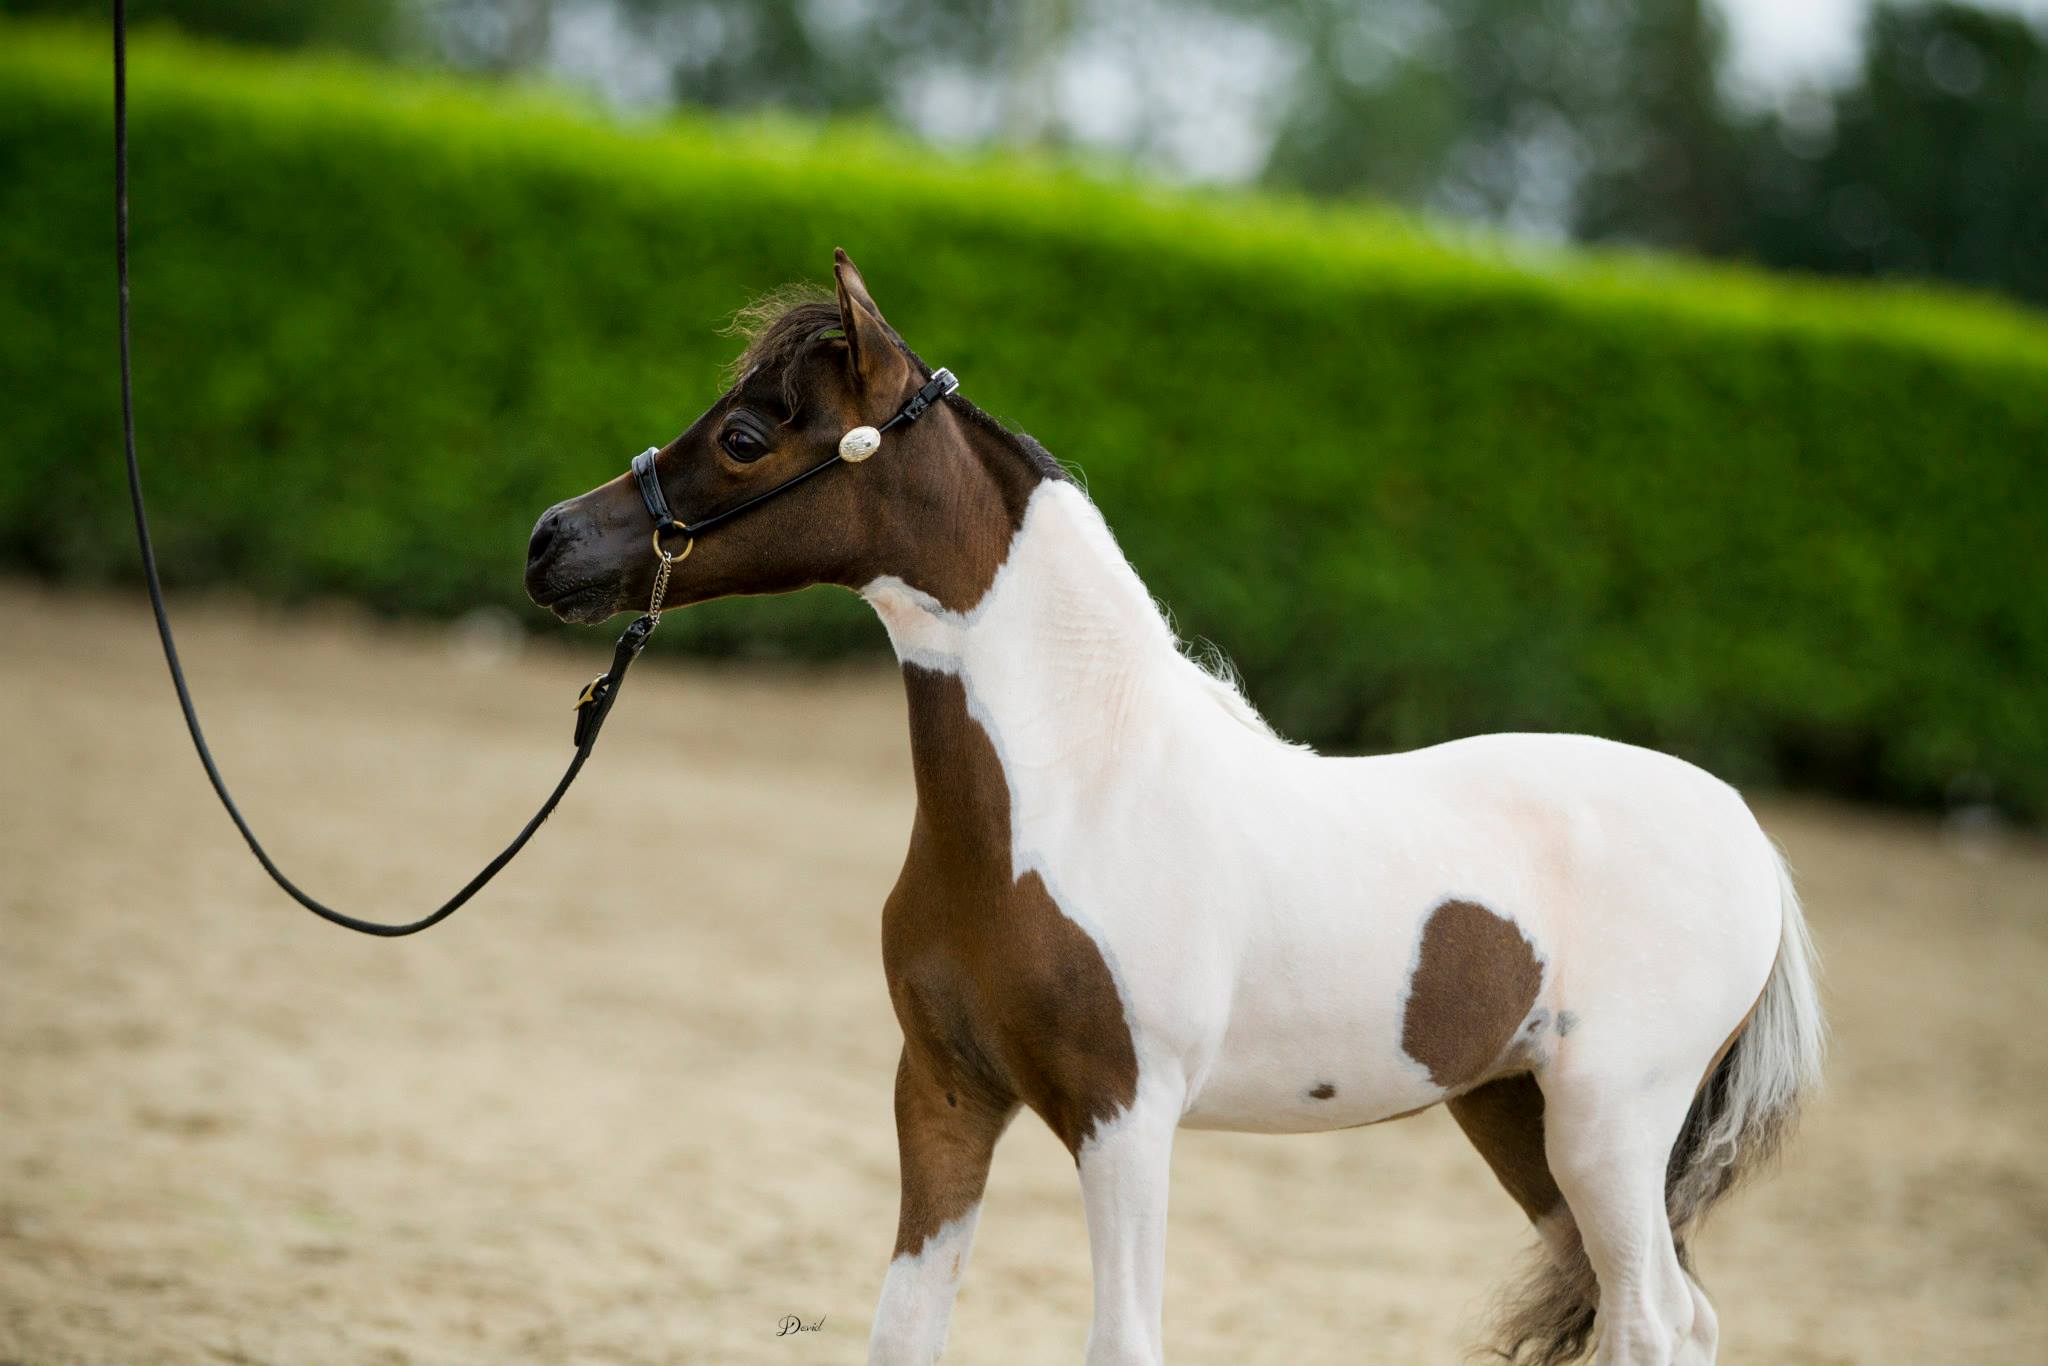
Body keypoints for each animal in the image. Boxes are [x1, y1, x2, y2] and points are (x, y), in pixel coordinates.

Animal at [522, 250, 1825, 1366]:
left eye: (746, 435)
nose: (550, 542)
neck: (1076, 793)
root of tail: (1746, 835)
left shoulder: (1124, 1118)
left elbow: (1122, 1340)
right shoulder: (943, 1090)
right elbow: (904, 1331)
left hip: (1608, 1124)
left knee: (1653, 1319)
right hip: (1516, 1117)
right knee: (1671, 1316)